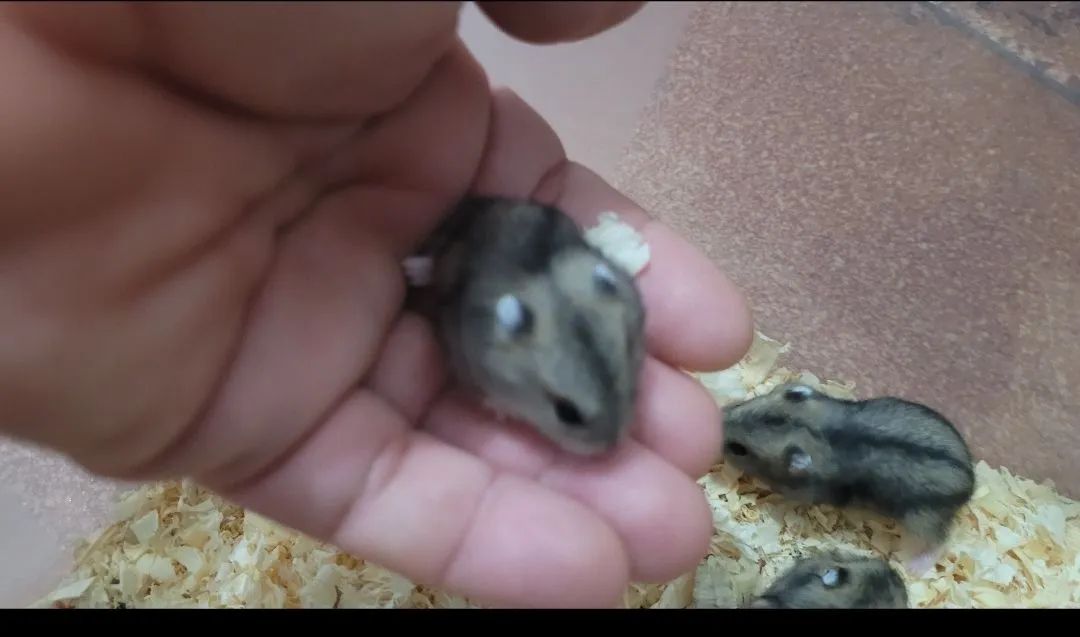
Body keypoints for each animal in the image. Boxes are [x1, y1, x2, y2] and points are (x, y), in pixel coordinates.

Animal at [721, 382, 975, 575]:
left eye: (738, 449)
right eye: (741, 405)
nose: (721, 415)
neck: (821, 433)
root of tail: (970, 482)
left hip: (923, 519)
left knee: (939, 543)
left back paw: (913, 568)